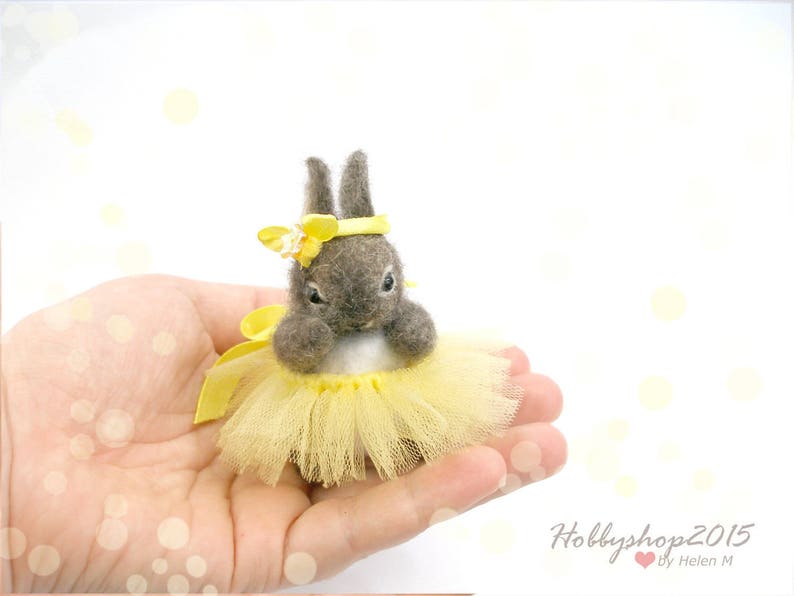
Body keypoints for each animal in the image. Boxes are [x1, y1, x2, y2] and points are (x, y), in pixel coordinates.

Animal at [272, 150, 437, 375]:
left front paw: (406, 324)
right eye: (313, 296)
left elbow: (423, 335)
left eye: (389, 283)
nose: (359, 321)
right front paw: (317, 332)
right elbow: (288, 342)